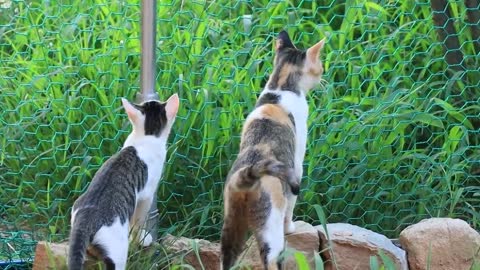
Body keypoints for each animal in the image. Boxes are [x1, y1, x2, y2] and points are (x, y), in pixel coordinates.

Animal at [68, 94, 180, 268]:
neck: (145, 137)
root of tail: (87, 217)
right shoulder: (145, 195)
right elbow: (138, 221)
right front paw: (142, 238)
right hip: (117, 251)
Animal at [221, 30, 326, 268]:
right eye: (320, 65)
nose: (323, 74)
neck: (279, 89)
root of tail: (246, 175)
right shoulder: (297, 166)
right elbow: (292, 204)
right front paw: (292, 227)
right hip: (270, 230)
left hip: (230, 229)